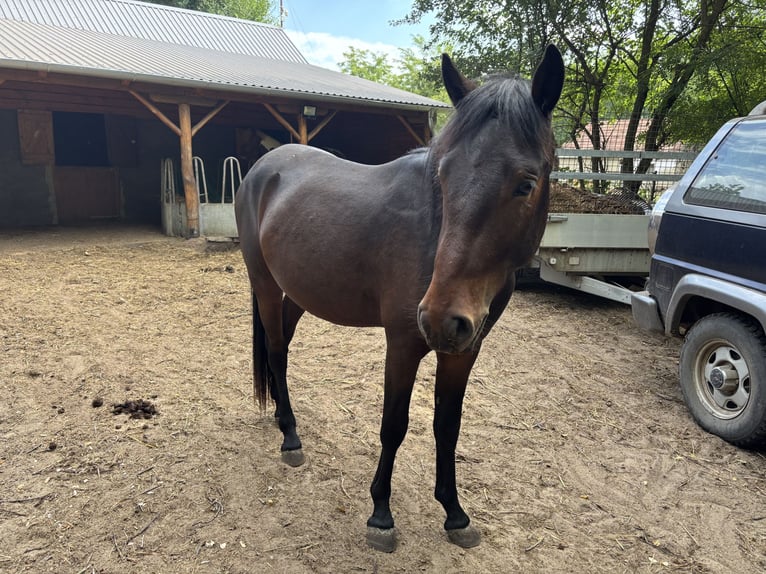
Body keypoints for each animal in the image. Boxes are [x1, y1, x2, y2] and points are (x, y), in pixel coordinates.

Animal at [235, 45, 564, 552]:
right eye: (443, 175)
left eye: (526, 183)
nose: (441, 317)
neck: (434, 234)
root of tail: (263, 167)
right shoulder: (404, 343)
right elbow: (394, 424)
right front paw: (381, 515)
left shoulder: (465, 349)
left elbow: (447, 426)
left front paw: (455, 513)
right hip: (266, 285)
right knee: (275, 351)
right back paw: (290, 437)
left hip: (300, 294)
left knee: (281, 350)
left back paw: (279, 419)